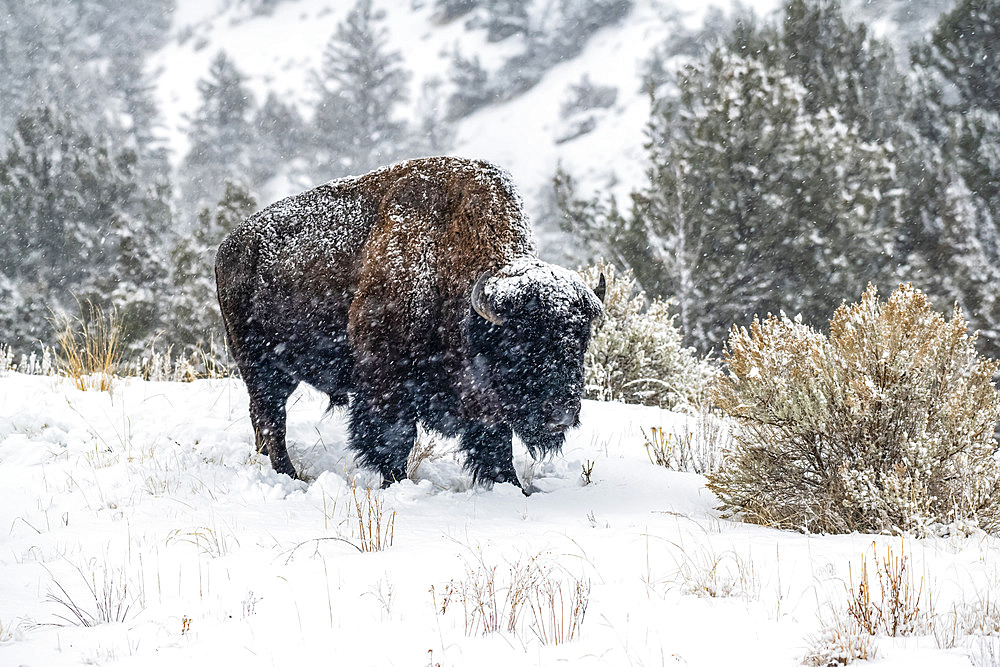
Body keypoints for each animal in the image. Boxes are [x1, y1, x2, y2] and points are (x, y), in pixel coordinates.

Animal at [216, 157, 604, 490]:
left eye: (581, 338)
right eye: (519, 341)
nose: (561, 412)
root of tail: (228, 246)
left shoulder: (483, 405)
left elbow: (496, 446)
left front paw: (513, 488)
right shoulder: (386, 384)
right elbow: (393, 439)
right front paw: (396, 484)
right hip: (260, 366)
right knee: (271, 418)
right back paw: (289, 475)